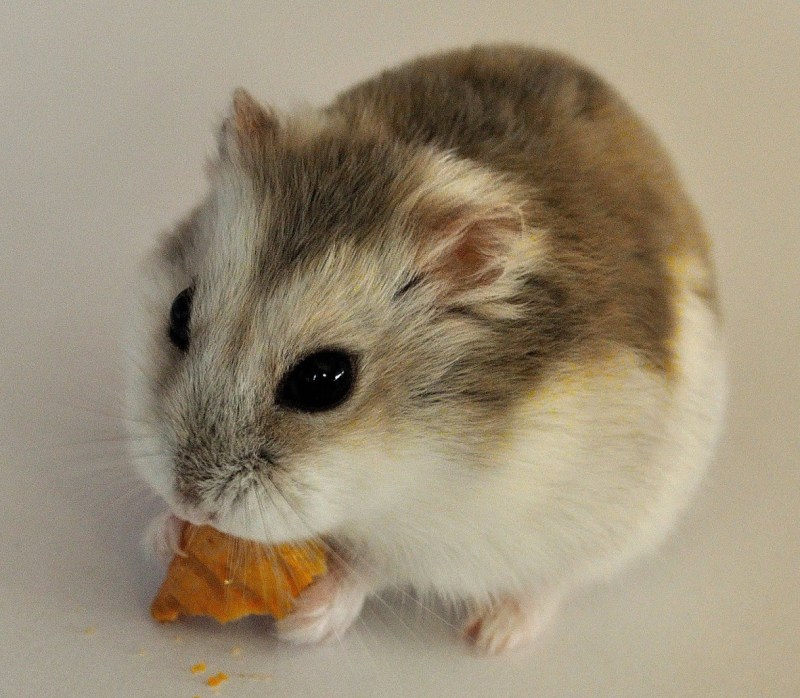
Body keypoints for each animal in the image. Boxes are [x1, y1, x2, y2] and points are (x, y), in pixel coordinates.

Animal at [128, 45, 726, 653]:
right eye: (178, 313)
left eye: (324, 379)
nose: (190, 497)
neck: (408, 463)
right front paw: (163, 537)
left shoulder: (445, 532)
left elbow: (370, 565)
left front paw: (305, 621)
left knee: (553, 580)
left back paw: (495, 634)